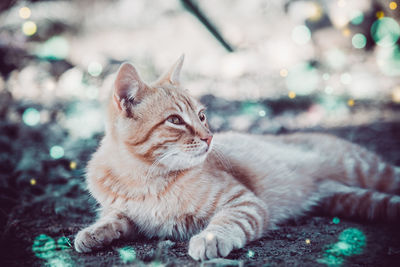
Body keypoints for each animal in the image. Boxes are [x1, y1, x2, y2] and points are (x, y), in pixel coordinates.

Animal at [74, 55, 400, 260]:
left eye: (201, 115)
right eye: (175, 120)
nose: (209, 137)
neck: (144, 179)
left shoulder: (244, 202)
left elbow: (225, 222)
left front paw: (210, 239)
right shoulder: (131, 216)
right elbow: (115, 217)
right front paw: (93, 232)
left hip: (368, 170)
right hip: (353, 200)